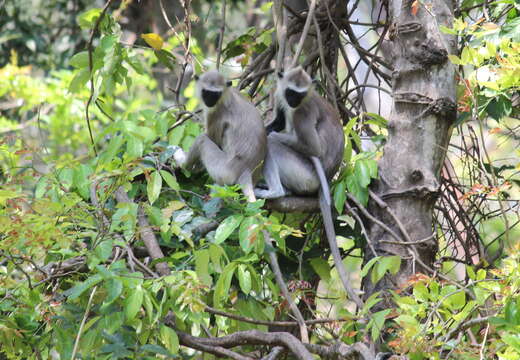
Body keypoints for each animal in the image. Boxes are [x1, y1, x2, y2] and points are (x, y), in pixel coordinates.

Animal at [173, 71, 268, 202]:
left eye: (216, 94)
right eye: (206, 92)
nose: (210, 101)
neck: (227, 97)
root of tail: (246, 170)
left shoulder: (216, 113)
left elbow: (211, 138)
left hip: (223, 170)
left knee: (202, 140)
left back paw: (183, 163)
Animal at [256, 66, 362, 306]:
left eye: (300, 95)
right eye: (290, 93)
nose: (294, 102)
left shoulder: (302, 112)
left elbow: (312, 148)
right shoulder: (281, 97)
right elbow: (278, 122)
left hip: (306, 174)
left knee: (274, 145)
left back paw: (275, 191)